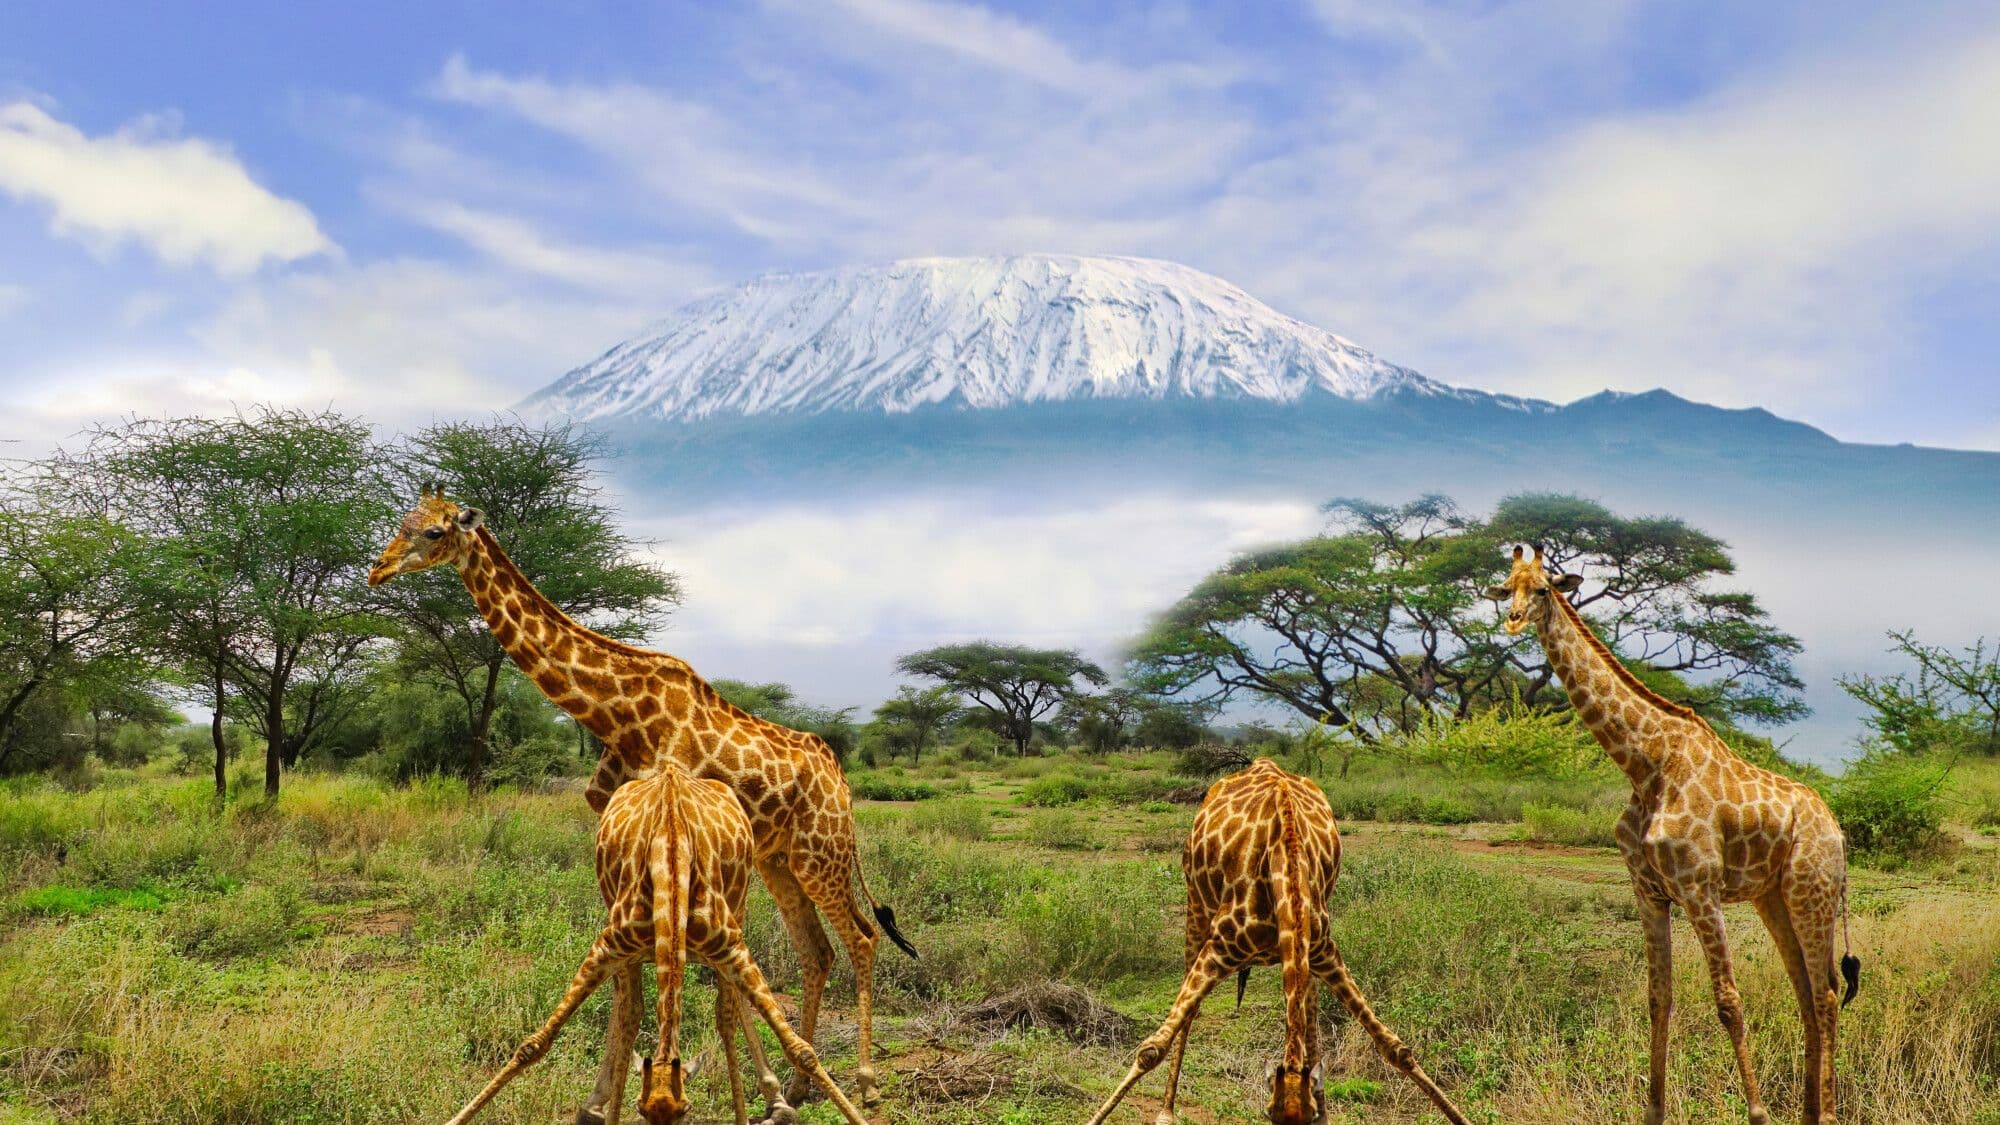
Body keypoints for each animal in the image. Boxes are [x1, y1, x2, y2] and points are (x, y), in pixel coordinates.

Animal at [443, 760, 870, 1125]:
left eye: (686, 1110)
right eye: (640, 1109)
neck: (672, 860)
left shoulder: (730, 948)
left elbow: (800, 1050)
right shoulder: (609, 947)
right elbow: (536, 1043)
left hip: (742, 910)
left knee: (730, 1010)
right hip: (625, 937)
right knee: (629, 1011)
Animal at [1086, 758, 1467, 1125]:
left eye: (1306, 1116)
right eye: (1270, 1114)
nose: (1317, 1114)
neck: (1286, 868)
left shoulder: (1323, 952)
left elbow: (1396, 1048)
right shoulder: (1221, 948)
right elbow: (1151, 1049)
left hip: (1303, 955)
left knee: (1309, 1006)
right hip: (1196, 907)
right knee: (1190, 1010)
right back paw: (1167, 1109)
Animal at [1487, 544, 1859, 1124]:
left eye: (1544, 589)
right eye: (1506, 587)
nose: (1513, 619)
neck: (1645, 764)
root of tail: (1837, 830)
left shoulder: (1700, 888)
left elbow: (1728, 1000)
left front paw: (1757, 1114)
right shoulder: (1649, 890)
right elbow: (1657, 998)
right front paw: (1653, 1112)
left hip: (1811, 889)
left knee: (1825, 993)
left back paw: (1825, 1114)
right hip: (1772, 897)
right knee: (1806, 991)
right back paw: (1807, 1111)